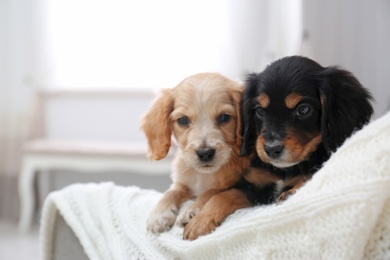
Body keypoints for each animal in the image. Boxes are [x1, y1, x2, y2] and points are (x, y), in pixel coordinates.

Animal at [142, 72, 248, 234]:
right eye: (183, 120)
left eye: (224, 117)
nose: (205, 153)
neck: (202, 174)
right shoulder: (182, 184)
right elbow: (170, 192)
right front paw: (159, 215)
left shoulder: (233, 184)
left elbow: (209, 192)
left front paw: (192, 210)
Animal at [184, 56, 374, 240]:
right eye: (260, 110)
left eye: (303, 109)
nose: (271, 149)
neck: (284, 171)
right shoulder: (256, 188)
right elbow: (224, 195)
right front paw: (200, 222)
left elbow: (308, 177)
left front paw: (293, 191)